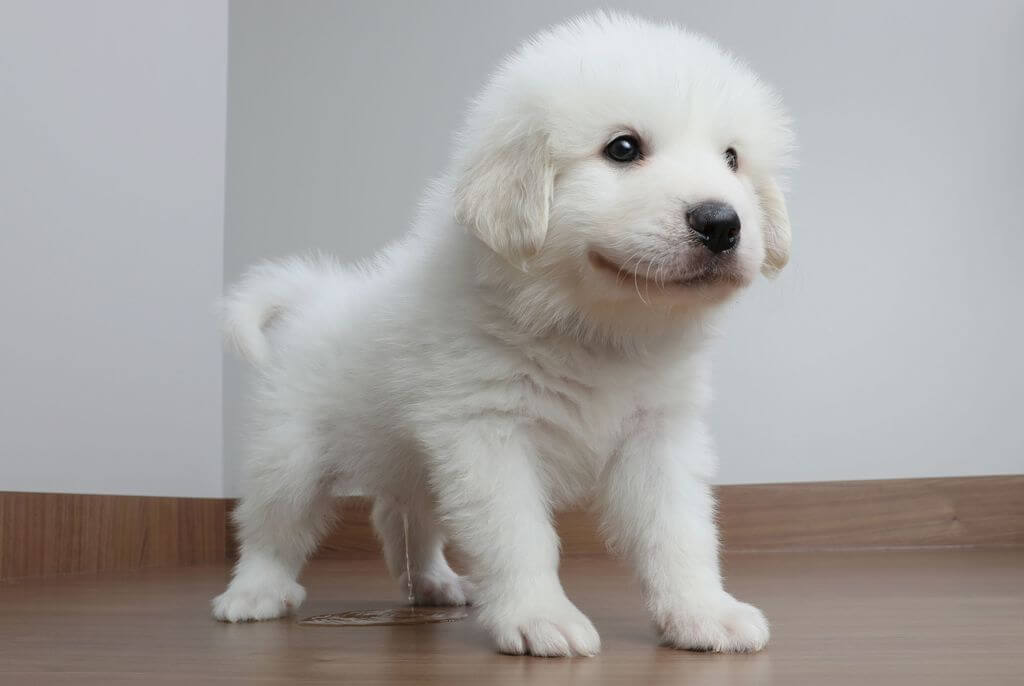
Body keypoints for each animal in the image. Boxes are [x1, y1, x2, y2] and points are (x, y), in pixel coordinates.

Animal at [214, 12, 790, 659]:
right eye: (622, 148)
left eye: (732, 159)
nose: (721, 223)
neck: (595, 330)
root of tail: (315, 296)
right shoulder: (487, 432)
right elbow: (519, 534)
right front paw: (540, 618)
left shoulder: (659, 434)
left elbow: (680, 532)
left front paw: (703, 613)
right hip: (290, 452)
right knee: (270, 527)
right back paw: (253, 594)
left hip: (412, 463)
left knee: (401, 518)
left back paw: (434, 584)